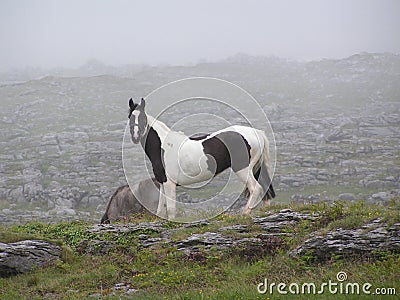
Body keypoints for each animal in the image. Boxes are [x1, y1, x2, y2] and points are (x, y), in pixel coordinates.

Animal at [128, 98, 276, 218]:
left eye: (142, 118)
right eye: (130, 118)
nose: (135, 137)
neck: (163, 146)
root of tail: (257, 133)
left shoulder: (169, 183)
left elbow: (170, 209)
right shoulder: (163, 181)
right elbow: (161, 208)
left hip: (243, 169)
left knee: (256, 188)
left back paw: (245, 213)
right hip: (255, 168)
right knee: (264, 189)